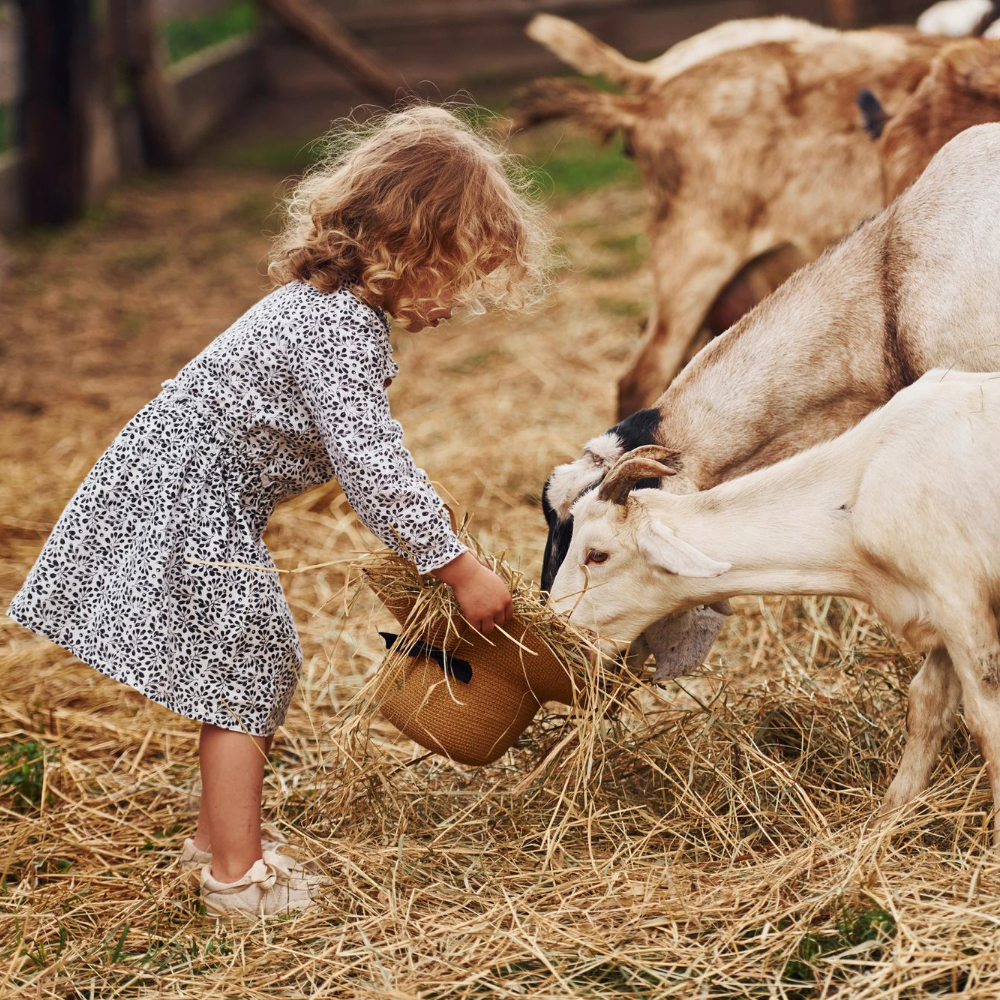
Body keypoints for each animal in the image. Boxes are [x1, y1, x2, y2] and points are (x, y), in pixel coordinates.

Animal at [552, 372, 1000, 848]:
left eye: (597, 554)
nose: (558, 626)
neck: (859, 488)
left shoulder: (960, 601)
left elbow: (986, 720)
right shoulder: (939, 614)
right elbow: (926, 706)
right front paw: (886, 822)